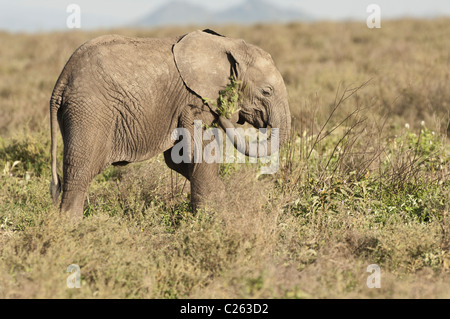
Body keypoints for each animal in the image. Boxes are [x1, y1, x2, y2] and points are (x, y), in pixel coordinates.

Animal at [50, 28, 292, 221]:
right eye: (267, 91)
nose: (228, 113)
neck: (227, 44)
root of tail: (61, 79)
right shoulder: (193, 101)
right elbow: (199, 153)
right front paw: (211, 218)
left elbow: (180, 159)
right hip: (89, 110)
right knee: (80, 169)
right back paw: (71, 226)